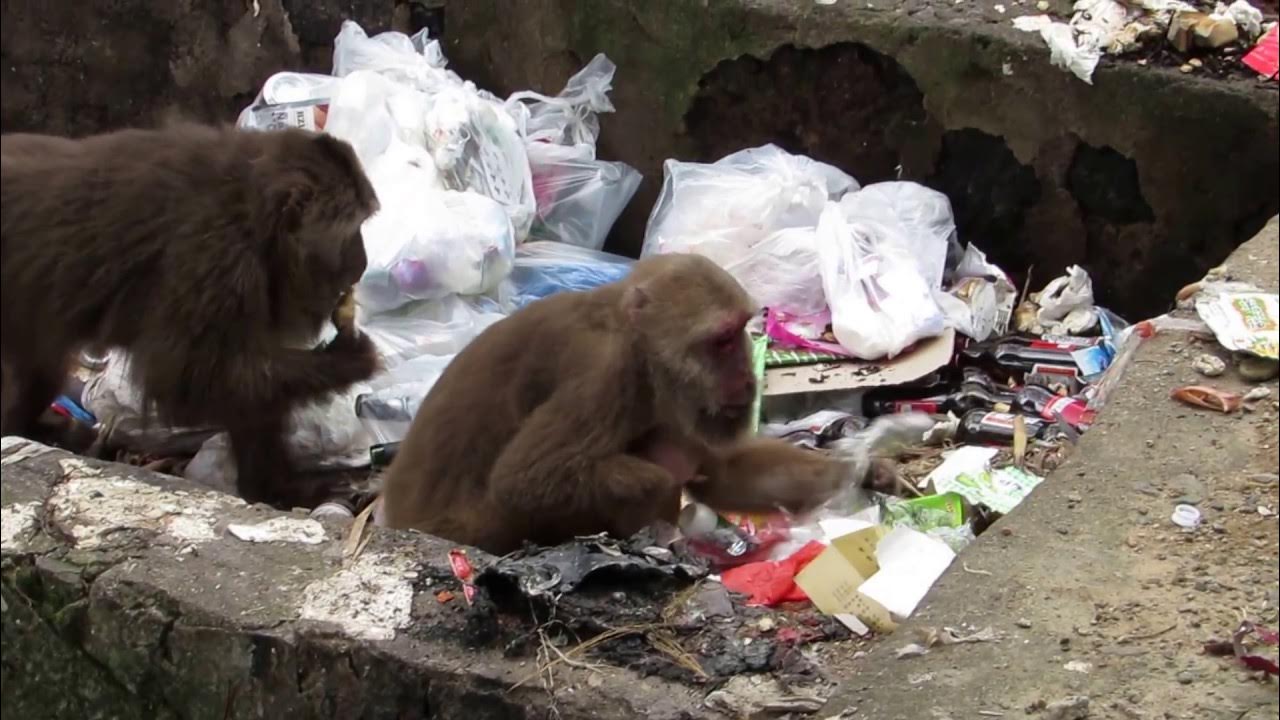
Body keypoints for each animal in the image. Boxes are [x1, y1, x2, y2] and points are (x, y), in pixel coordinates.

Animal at [1, 121, 381, 506]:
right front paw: (348, 359)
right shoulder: (213, 259)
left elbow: (243, 382)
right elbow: (188, 380)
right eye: (352, 228)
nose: (362, 264)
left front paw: (274, 487)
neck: (250, 209)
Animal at [378, 253, 863, 554]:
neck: (638, 346)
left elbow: (722, 472)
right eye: (723, 341)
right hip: (472, 529)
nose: (747, 376)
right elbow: (523, 480)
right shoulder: (603, 373)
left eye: (742, 330)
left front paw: (858, 472)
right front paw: (664, 495)